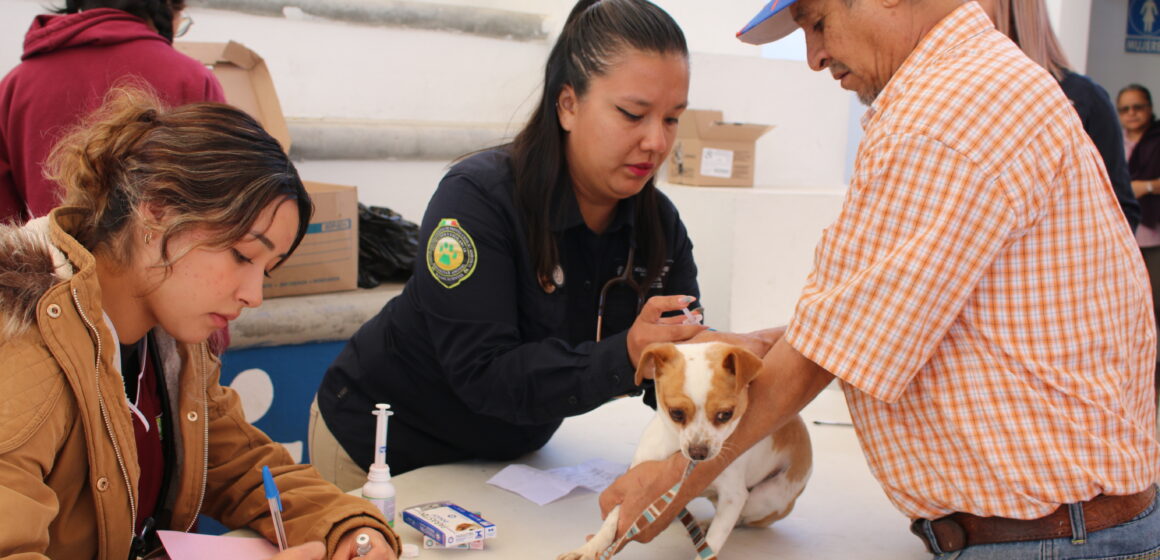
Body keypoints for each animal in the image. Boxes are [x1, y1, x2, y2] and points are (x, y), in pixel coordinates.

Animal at [556, 340, 812, 560]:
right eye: (676, 413)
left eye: (725, 414)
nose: (698, 452)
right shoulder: (633, 484)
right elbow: (613, 520)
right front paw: (589, 548)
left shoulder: (734, 496)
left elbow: (715, 539)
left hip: (763, 497)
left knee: (741, 518)